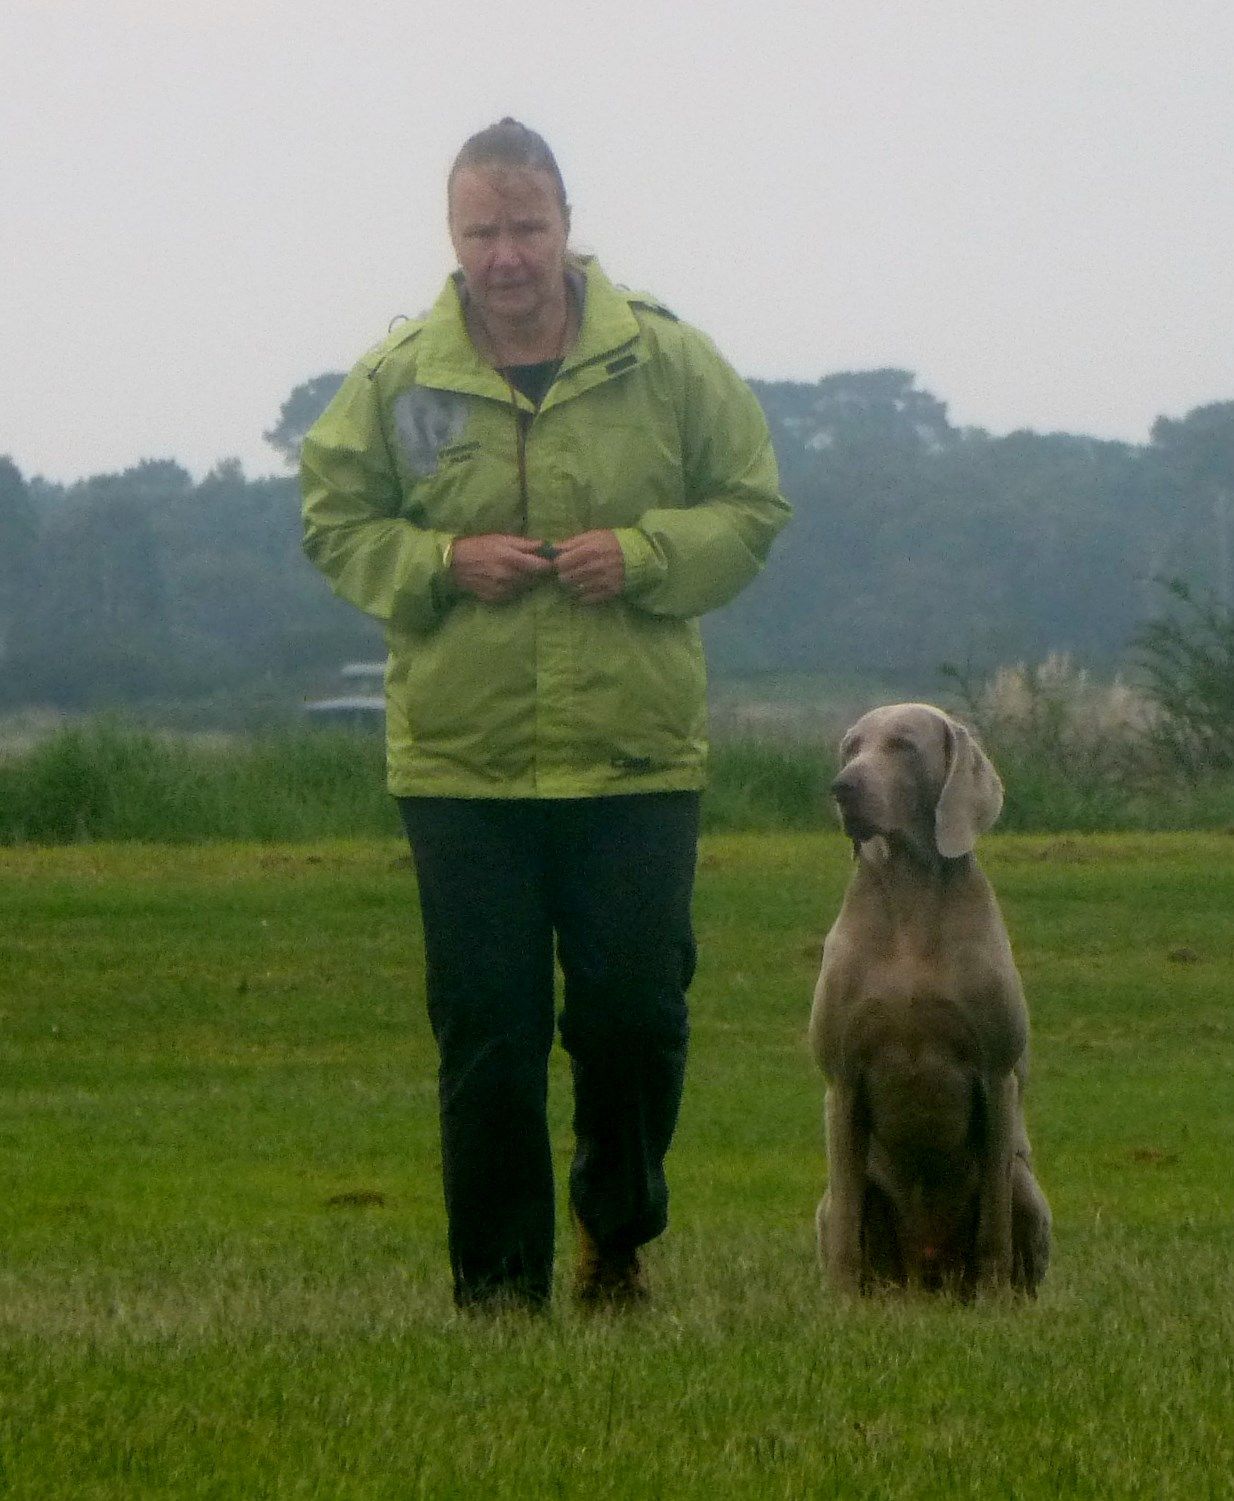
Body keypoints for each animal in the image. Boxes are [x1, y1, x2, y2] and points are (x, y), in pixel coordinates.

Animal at [809, 704, 1051, 1296]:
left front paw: (992, 1298)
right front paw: (840, 1304)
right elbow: (847, 1223)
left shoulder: (997, 1076)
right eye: (850, 747)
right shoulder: (842, 1082)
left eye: (903, 745)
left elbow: (993, 1227)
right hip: (835, 1204)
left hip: (1027, 1185)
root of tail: (926, 1277)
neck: (911, 893)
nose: (842, 787)